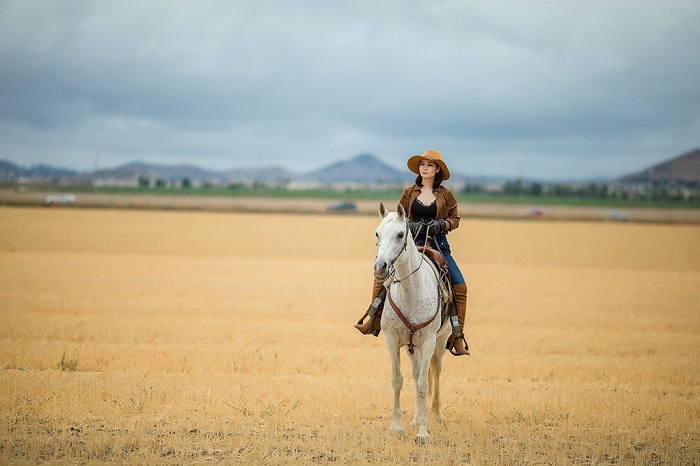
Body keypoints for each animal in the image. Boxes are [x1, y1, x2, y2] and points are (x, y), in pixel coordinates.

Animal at [374, 202, 452, 442]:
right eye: (377, 233)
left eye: (400, 234)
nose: (380, 267)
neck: (410, 292)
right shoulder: (392, 341)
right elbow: (398, 380)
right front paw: (396, 426)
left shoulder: (427, 342)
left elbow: (423, 385)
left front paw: (423, 433)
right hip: (411, 347)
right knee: (417, 373)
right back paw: (416, 419)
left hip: (440, 342)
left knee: (435, 372)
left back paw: (437, 414)